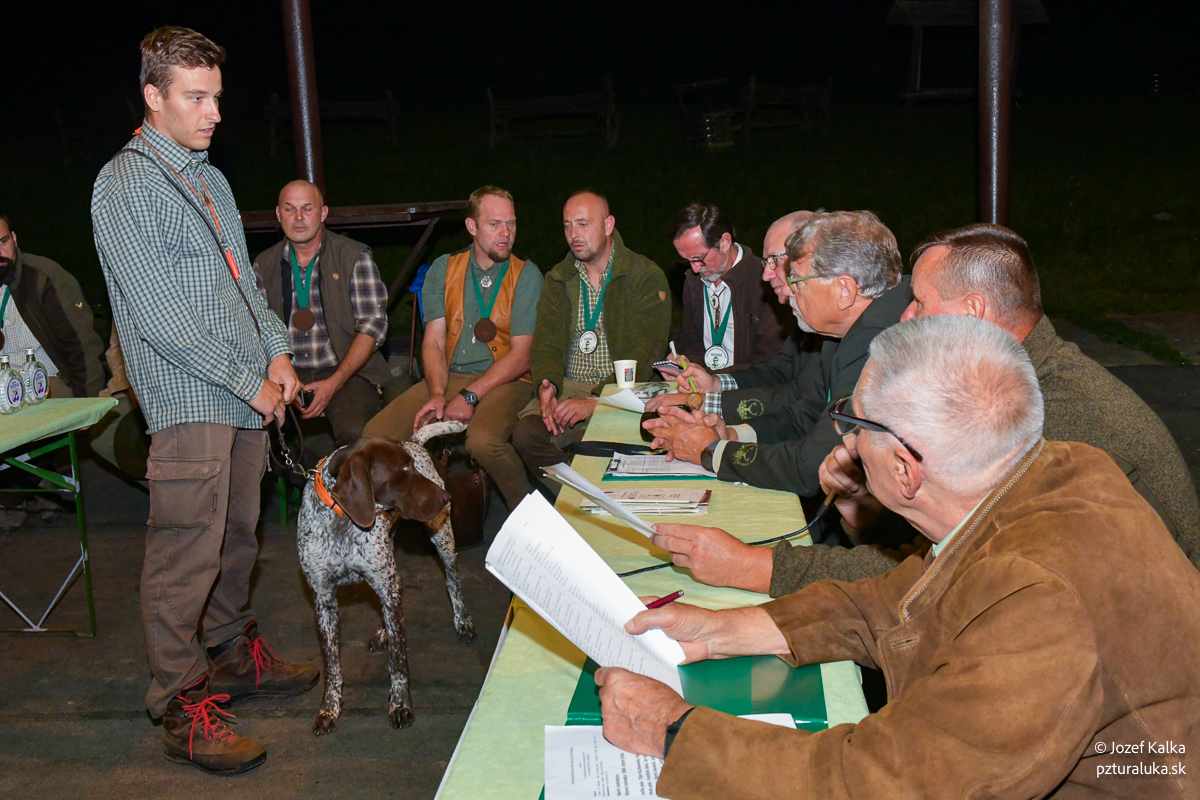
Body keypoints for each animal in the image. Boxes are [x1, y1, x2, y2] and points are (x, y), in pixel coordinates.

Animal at [296, 421, 476, 736]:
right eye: (403, 470)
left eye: (413, 466)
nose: (446, 498)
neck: (341, 519)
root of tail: (414, 440)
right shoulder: (324, 600)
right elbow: (332, 665)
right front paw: (329, 708)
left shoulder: (386, 585)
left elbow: (398, 660)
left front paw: (400, 704)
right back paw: (383, 632)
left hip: (441, 538)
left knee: (453, 582)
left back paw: (461, 621)